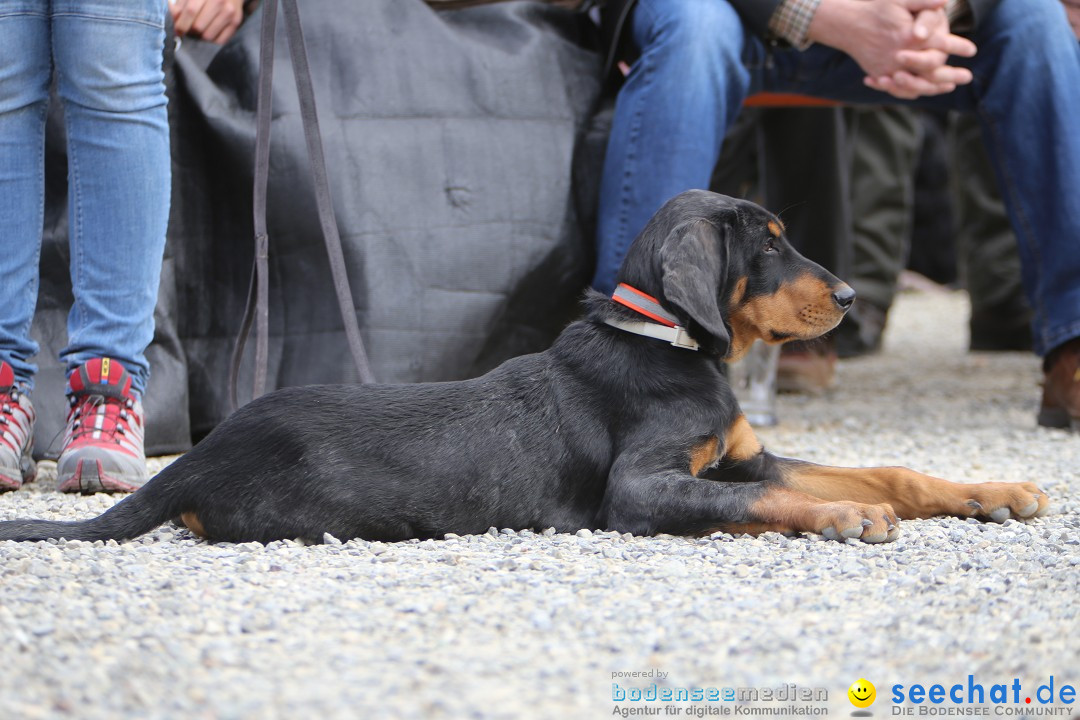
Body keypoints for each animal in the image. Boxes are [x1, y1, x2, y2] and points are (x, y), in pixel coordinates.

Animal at [0, 191, 1049, 546]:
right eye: (771, 244)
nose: (852, 297)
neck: (667, 345)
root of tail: (197, 457)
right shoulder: (642, 488)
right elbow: (767, 499)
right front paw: (841, 516)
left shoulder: (744, 452)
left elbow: (883, 468)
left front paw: (996, 493)